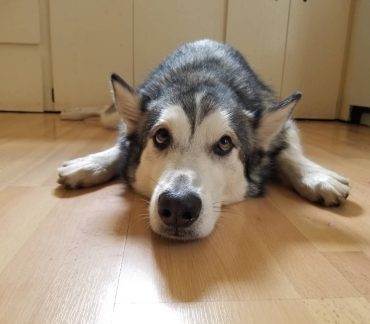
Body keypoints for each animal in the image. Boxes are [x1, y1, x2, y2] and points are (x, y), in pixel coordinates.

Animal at [57, 39, 350, 239]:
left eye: (225, 143)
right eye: (161, 136)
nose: (177, 205)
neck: (204, 75)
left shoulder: (285, 126)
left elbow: (289, 154)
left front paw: (318, 177)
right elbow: (121, 148)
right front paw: (91, 164)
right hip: (114, 114)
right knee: (104, 114)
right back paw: (71, 113)